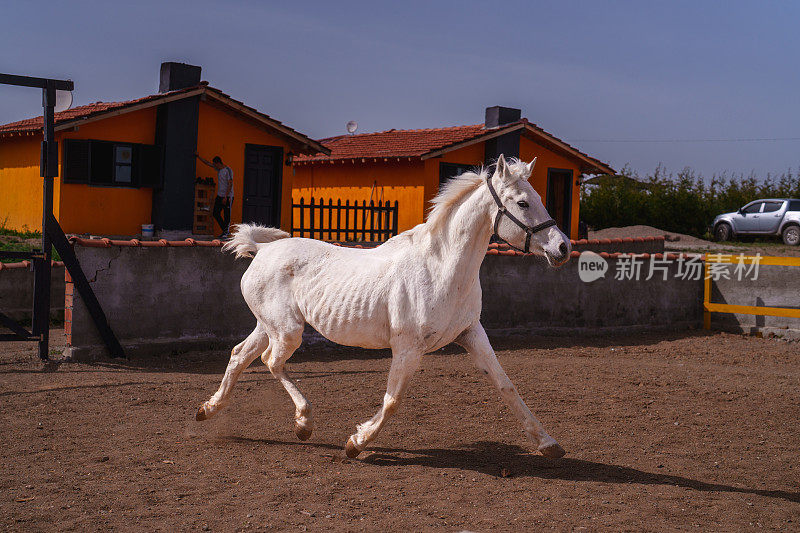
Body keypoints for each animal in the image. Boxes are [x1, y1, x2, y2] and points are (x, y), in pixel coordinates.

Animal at [197, 153, 572, 458]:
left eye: (540, 198)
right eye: (522, 203)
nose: (563, 248)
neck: (441, 268)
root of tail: (262, 251)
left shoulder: (471, 334)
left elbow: (506, 386)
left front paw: (549, 444)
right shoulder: (407, 347)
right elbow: (392, 400)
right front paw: (356, 443)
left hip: (269, 326)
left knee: (240, 355)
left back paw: (208, 410)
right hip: (287, 331)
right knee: (270, 361)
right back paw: (303, 423)